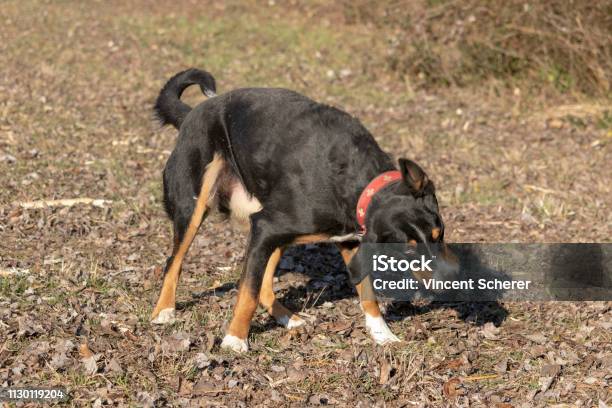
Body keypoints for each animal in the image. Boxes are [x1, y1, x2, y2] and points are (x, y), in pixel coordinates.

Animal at [151, 68, 452, 352]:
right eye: (408, 252)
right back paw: (164, 311)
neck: (355, 183)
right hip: (194, 206)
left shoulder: (348, 240)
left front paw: (382, 334)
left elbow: (367, 292)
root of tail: (194, 112)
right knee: (174, 262)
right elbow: (247, 292)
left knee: (265, 285)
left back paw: (289, 318)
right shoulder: (266, 226)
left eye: (439, 235)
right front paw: (235, 340)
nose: (449, 281)